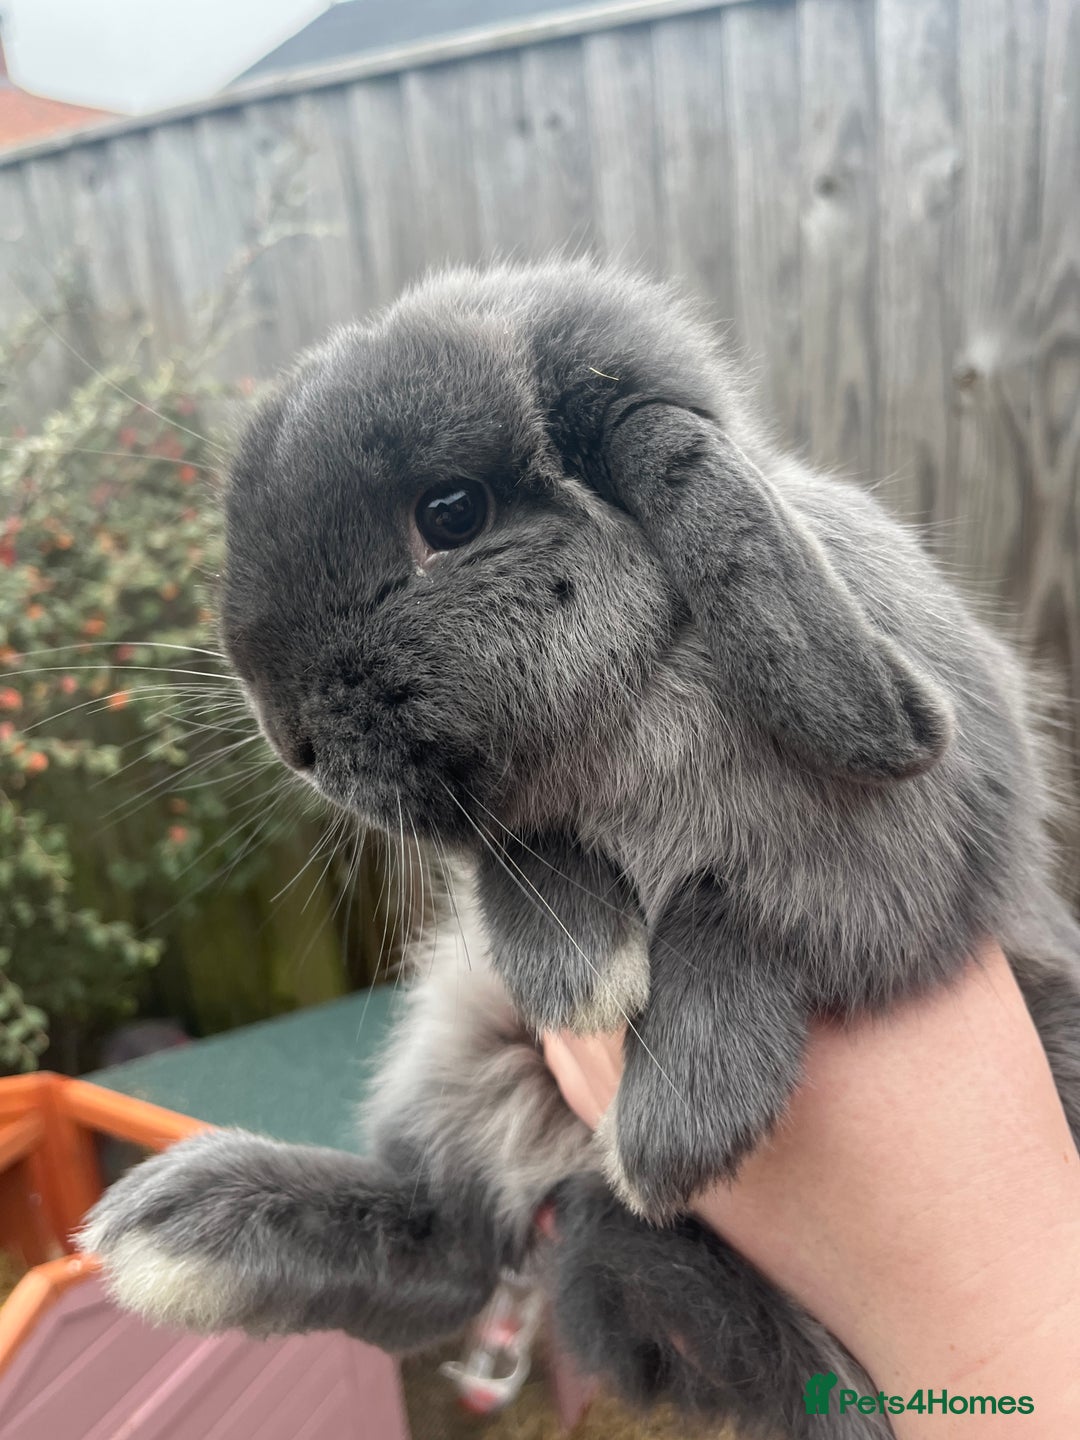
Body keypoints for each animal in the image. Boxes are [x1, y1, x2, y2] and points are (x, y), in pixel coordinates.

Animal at [82, 260, 1080, 1439]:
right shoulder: (508, 853)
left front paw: (668, 1134)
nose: (293, 739)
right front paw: (585, 973)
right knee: (454, 1247)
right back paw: (183, 1232)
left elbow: (729, 919)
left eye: (450, 513)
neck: (643, 694)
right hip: (461, 1049)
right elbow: (522, 858)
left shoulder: (910, 872)